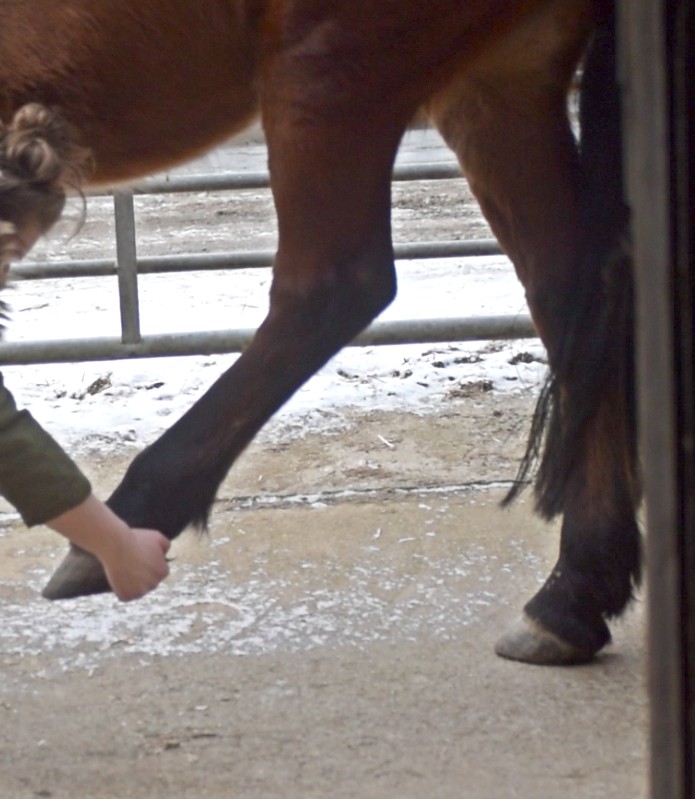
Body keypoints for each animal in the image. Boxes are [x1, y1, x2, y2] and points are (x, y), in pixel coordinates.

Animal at [0, 0, 637, 665]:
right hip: (495, 82)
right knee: (570, 297)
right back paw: (572, 597)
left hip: (329, 65)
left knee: (335, 285)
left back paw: (126, 524)